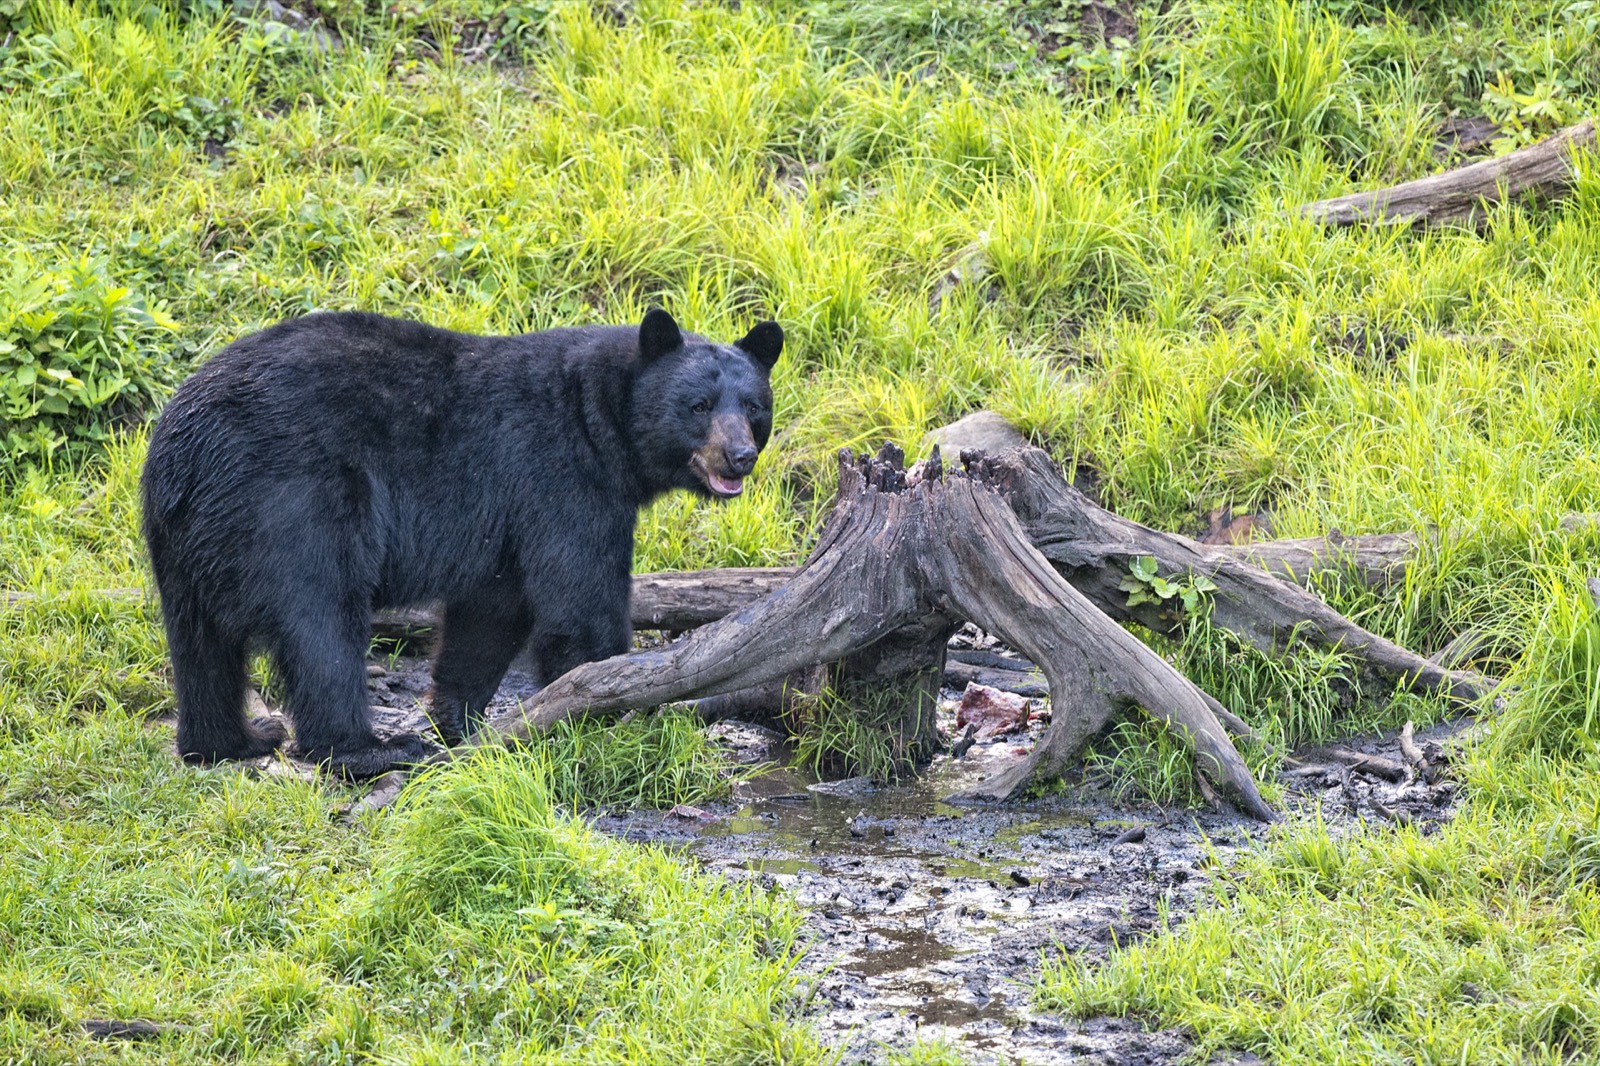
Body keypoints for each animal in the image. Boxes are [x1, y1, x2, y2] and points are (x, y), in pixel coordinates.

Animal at [141, 307, 782, 779]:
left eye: (753, 407)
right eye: (698, 406)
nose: (740, 456)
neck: (601, 421)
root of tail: (186, 447)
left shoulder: (508, 521)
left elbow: (491, 613)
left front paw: (460, 720)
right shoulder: (561, 476)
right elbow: (579, 601)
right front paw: (613, 712)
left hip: (184, 539)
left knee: (200, 642)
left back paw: (232, 739)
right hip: (296, 501)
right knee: (320, 621)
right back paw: (367, 749)